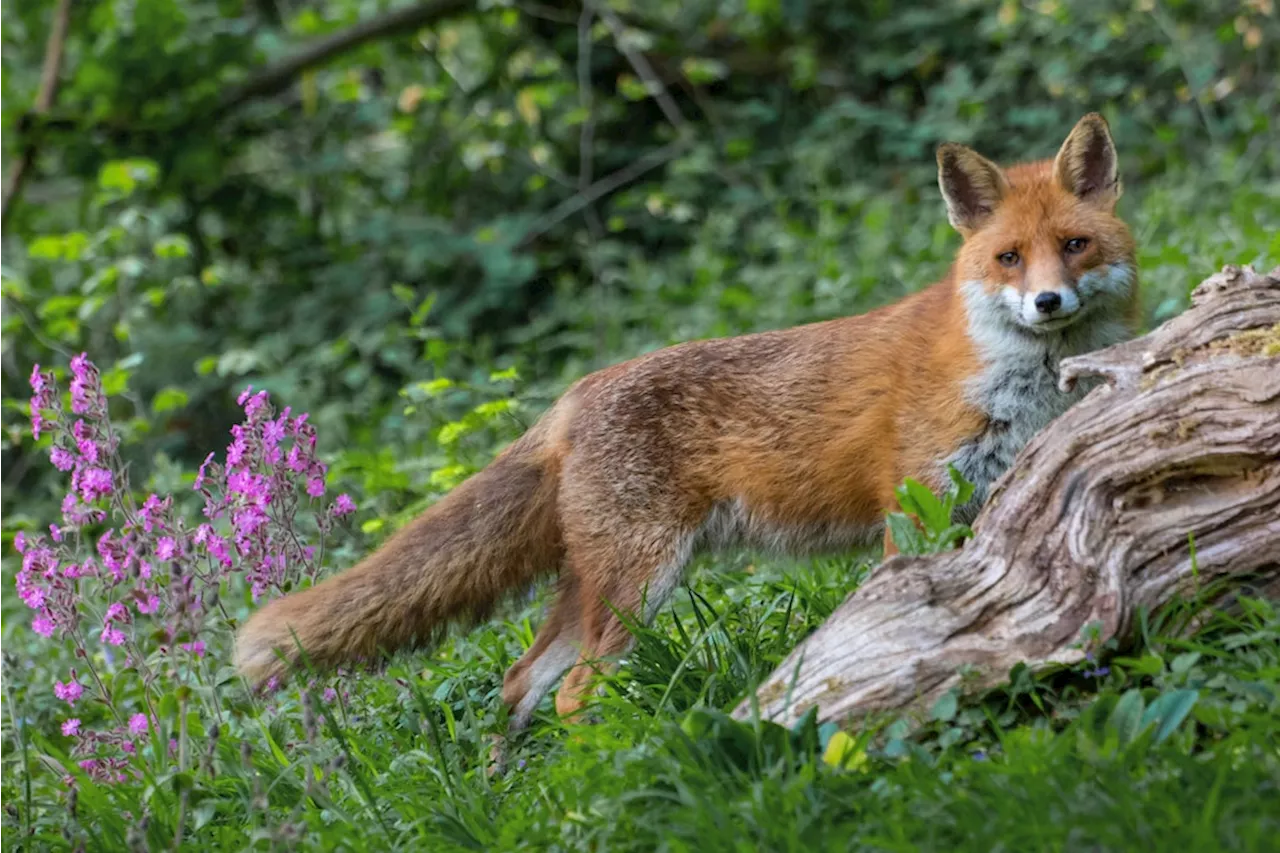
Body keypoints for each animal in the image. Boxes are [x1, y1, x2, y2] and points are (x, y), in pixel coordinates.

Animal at [235, 112, 1136, 732]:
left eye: (1075, 245)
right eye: (1008, 258)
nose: (1047, 301)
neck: (1017, 377)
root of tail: (572, 396)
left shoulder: (997, 499)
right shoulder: (916, 505)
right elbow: (902, 625)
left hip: (597, 587)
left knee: (520, 681)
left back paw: (513, 793)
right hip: (640, 583)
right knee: (571, 693)